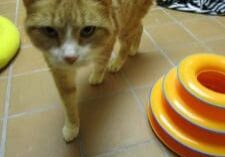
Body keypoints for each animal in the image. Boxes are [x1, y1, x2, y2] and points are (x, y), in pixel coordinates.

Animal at [22, 0, 153, 142]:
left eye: (88, 30)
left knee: (128, 39)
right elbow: (68, 102)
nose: (70, 58)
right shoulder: (59, 69)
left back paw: (120, 60)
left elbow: (101, 62)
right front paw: (72, 126)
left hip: (126, 20)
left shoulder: (109, 38)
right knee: (139, 27)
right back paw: (134, 49)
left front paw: (97, 76)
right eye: (49, 30)